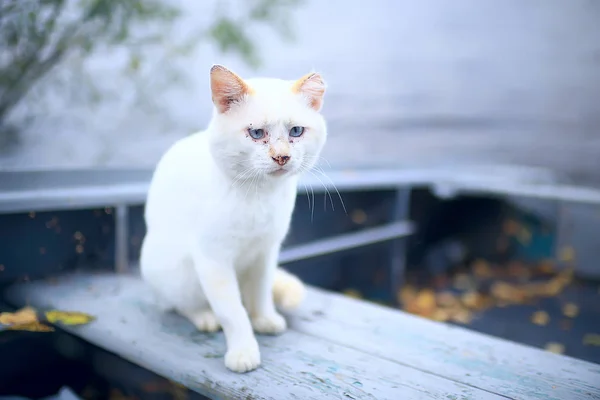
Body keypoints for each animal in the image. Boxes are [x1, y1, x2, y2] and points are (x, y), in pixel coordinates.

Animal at [140, 64, 328, 374]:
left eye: (296, 131)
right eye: (256, 133)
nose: (282, 157)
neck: (258, 195)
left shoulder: (265, 253)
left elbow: (261, 293)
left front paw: (263, 318)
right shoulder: (213, 261)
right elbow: (232, 313)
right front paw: (243, 351)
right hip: (176, 272)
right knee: (177, 303)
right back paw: (204, 316)